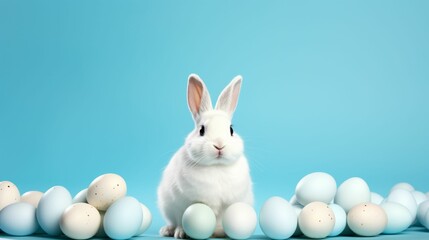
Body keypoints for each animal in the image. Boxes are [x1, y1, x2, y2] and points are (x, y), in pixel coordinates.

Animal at [157, 74, 252, 238]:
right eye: (201, 130)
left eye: (231, 130)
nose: (219, 145)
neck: (216, 166)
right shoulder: (181, 204)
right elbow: (181, 219)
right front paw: (181, 233)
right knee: (173, 222)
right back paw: (167, 230)